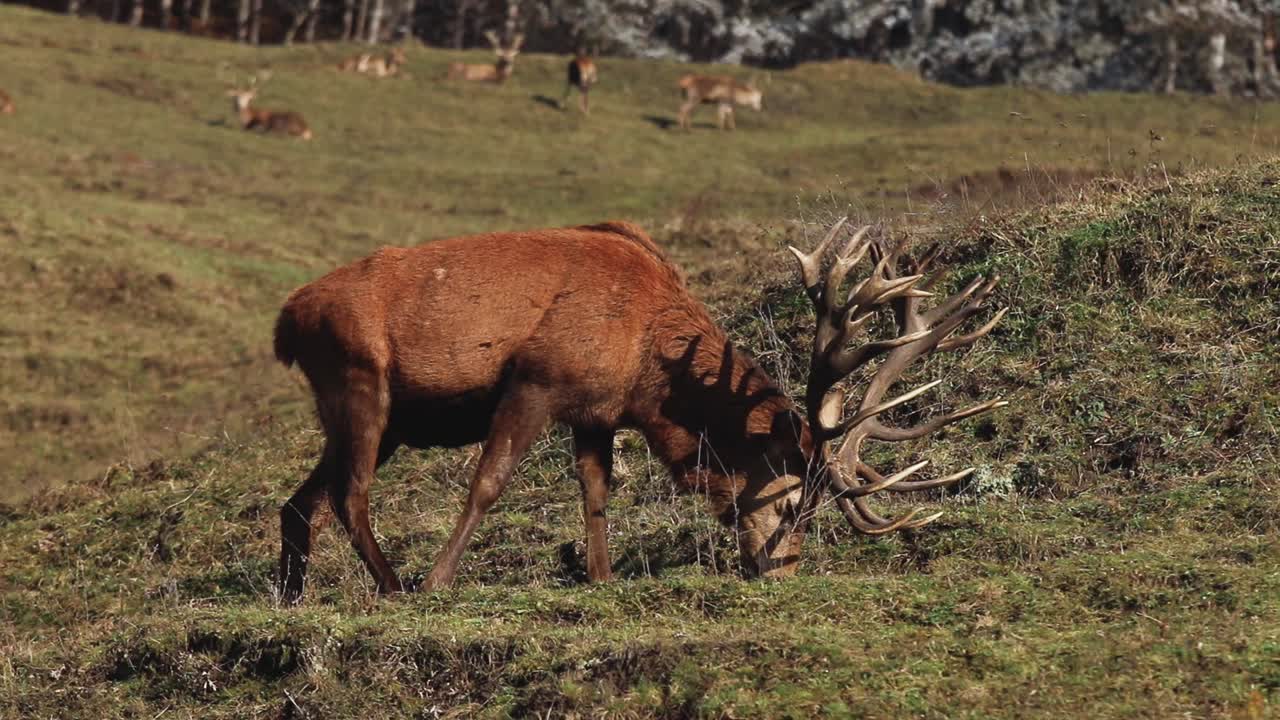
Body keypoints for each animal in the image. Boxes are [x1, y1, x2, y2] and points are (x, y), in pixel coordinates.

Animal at [272, 218, 1007, 603]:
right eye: (794, 499)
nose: (782, 571)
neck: (650, 373)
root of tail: (287, 319)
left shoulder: (595, 411)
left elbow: (596, 493)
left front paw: (599, 579)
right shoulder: (537, 379)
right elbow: (489, 484)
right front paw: (438, 581)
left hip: (380, 418)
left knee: (301, 500)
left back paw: (291, 594)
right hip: (362, 383)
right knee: (350, 494)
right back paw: (394, 584)